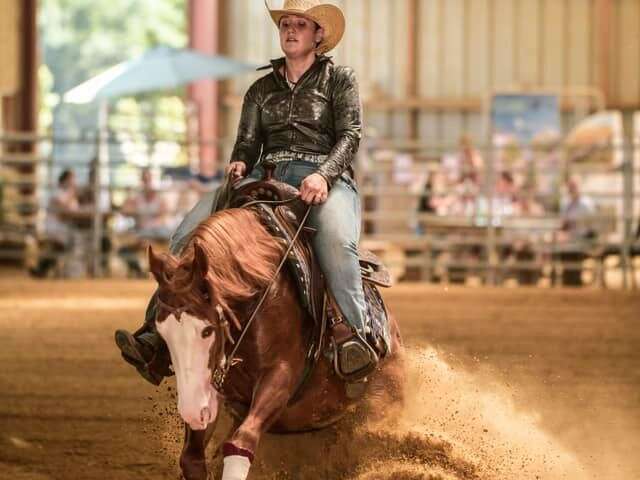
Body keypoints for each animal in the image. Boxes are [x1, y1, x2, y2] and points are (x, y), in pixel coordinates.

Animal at [148, 207, 402, 480]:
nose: (192, 411)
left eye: (207, 330)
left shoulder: (280, 375)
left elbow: (242, 441)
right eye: (162, 332)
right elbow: (192, 458)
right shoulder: (210, 387)